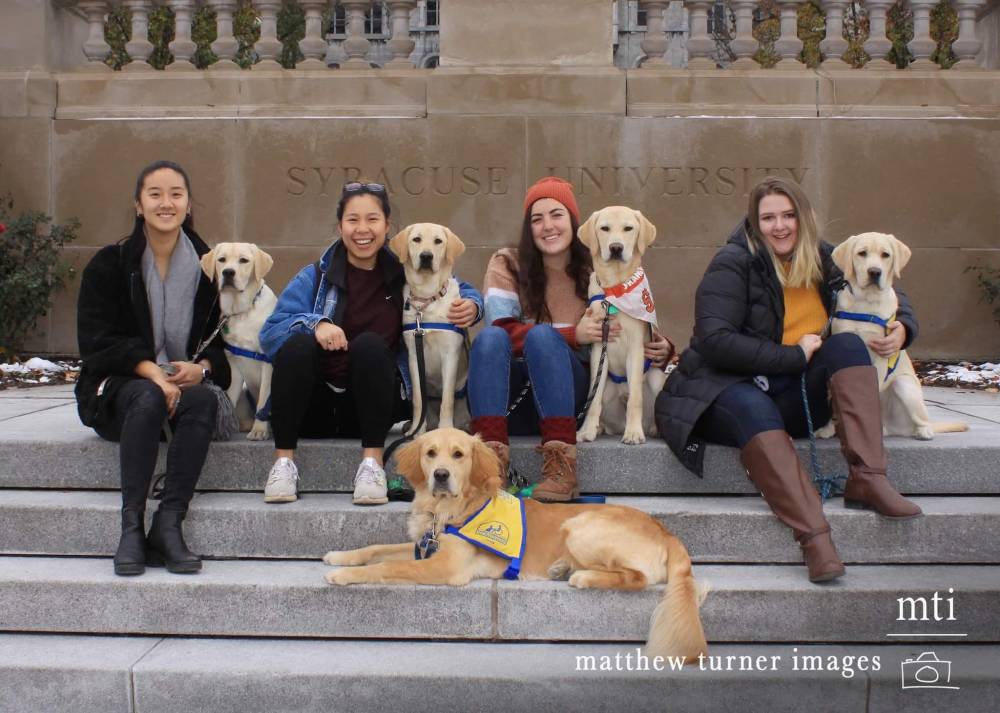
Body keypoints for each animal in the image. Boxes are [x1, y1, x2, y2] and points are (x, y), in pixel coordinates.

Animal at [324, 426, 708, 660]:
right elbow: (376, 549)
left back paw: (581, 575)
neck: (446, 510)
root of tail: (666, 532)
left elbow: (389, 565)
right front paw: (340, 556)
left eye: (459, 455)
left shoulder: (445, 565)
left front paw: (344, 576)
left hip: (580, 525)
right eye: (430, 453)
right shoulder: (425, 544)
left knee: (636, 577)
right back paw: (562, 566)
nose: (441, 475)